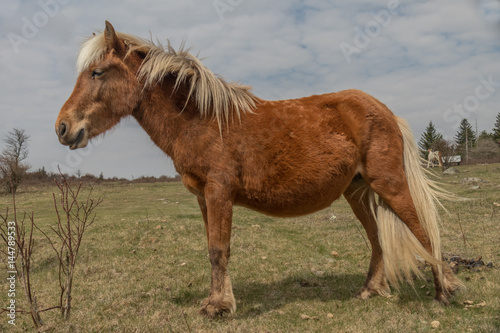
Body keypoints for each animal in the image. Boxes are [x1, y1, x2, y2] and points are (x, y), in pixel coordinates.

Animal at [56, 20, 462, 316]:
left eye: (97, 72)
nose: (62, 127)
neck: (202, 119)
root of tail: (385, 111)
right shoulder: (204, 198)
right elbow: (213, 248)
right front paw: (216, 301)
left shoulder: (219, 193)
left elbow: (219, 249)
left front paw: (219, 308)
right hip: (358, 191)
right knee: (377, 238)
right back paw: (370, 290)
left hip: (389, 184)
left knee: (423, 232)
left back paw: (444, 292)